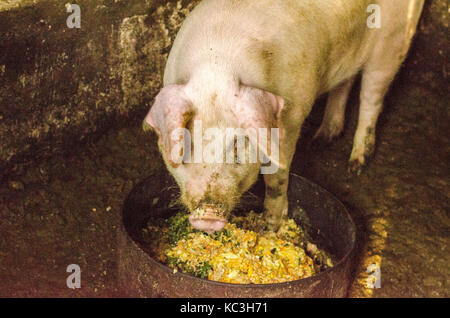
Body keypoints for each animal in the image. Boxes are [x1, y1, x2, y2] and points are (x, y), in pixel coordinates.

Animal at [142, 0, 424, 234]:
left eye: (238, 147)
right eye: (187, 148)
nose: (209, 216)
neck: (216, 64)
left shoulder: (293, 115)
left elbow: (276, 173)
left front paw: (269, 227)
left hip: (394, 39)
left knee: (371, 97)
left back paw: (355, 164)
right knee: (346, 82)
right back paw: (323, 137)